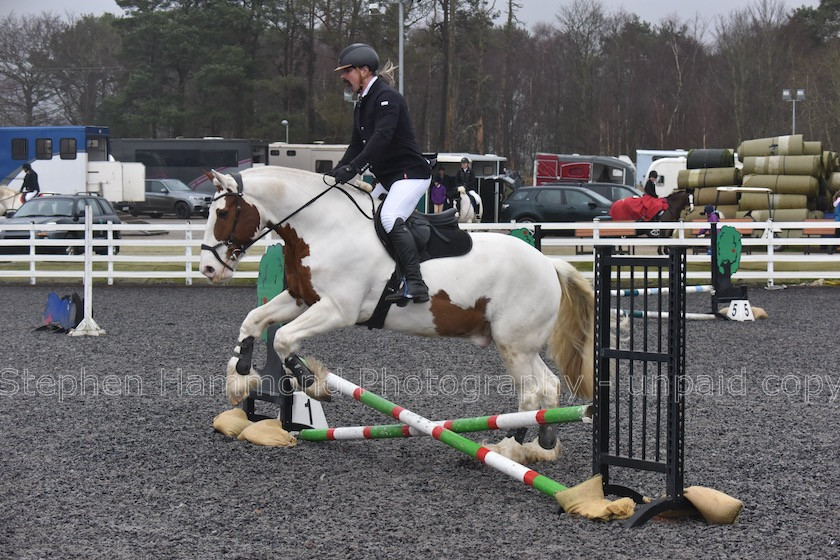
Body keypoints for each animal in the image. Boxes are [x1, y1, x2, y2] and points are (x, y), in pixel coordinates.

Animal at [197, 166, 592, 460]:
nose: (208, 270)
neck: (323, 228)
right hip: (520, 344)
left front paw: (313, 383)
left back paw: (509, 449)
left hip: (514, 345)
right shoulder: (301, 298)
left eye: (222, 212)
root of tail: (549, 263)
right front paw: (240, 377)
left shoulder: (337, 309)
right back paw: (543, 444)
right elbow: (254, 322)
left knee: (531, 392)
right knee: (548, 385)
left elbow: (283, 339)